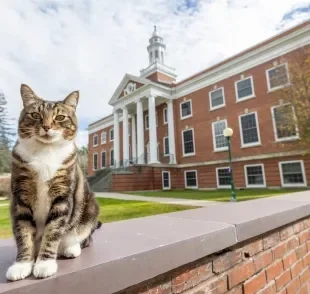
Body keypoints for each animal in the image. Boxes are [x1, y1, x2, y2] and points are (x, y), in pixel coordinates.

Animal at [6, 84, 101, 282]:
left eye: (60, 117)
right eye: (35, 115)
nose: (47, 126)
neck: (45, 151)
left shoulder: (62, 196)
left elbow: (53, 230)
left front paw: (44, 264)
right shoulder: (21, 196)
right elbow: (23, 232)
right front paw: (22, 265)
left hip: (90, 209)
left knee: (84, 237)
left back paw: (71, 248)